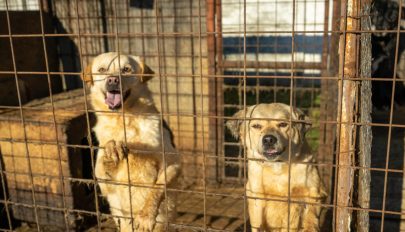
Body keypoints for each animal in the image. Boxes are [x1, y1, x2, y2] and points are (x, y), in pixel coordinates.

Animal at [82, 51, 180, 231]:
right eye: (102, 70)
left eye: (126, 69)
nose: (113, 80)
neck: (124, 119)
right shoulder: (104, 183)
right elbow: (105, 164)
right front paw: (112, 150)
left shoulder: (173, 161)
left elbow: (158, 187)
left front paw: (146, 215)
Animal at [226, 104, 326, 232]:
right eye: (256, 126)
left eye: (283, 124)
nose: (269, 139)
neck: (277, 169)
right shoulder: (256, 196)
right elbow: (257, 223)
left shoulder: (314, 191)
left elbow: (310, 217)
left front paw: (309, 226)